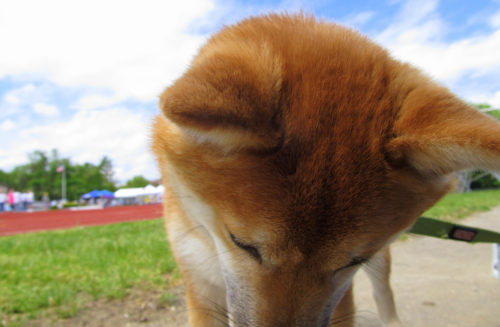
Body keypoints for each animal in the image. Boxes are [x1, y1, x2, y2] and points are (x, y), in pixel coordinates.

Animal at [151, 13, 500, 327]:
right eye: (242, 244)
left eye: (354, 261)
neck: (209, 239)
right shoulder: (199, 285)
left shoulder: (347, 293)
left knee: (384, 294)